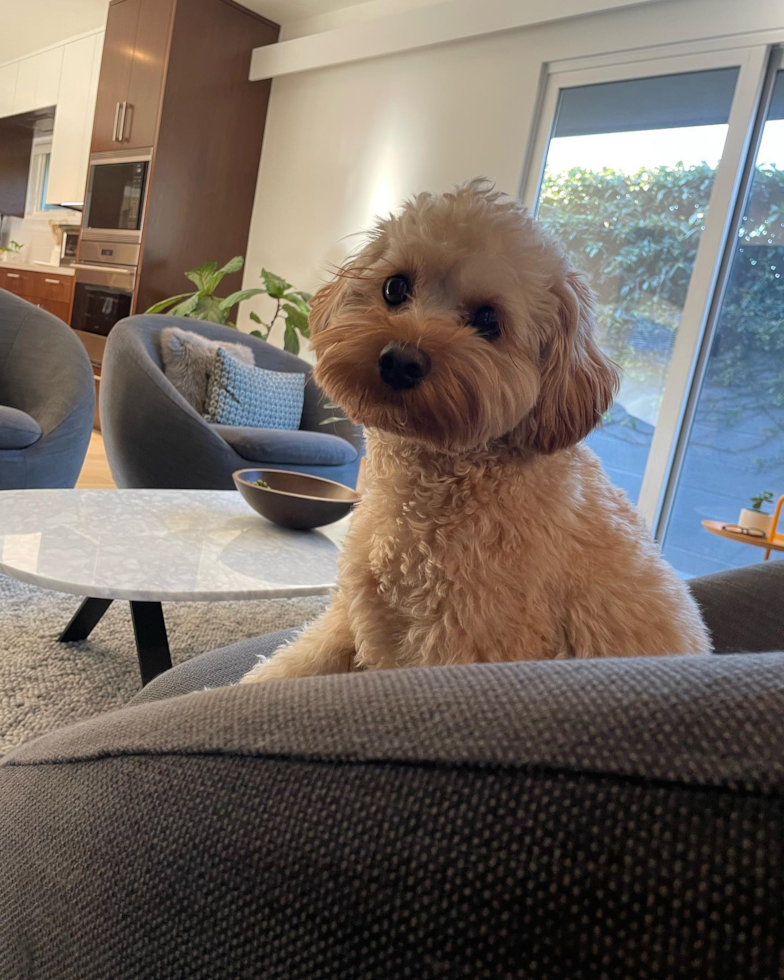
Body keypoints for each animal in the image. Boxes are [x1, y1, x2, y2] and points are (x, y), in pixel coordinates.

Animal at [240, 180, 712, 680]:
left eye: (488, 321)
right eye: (395, 287)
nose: (401, 361)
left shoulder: (463, 646)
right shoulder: (356, 614)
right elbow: (287, 668)